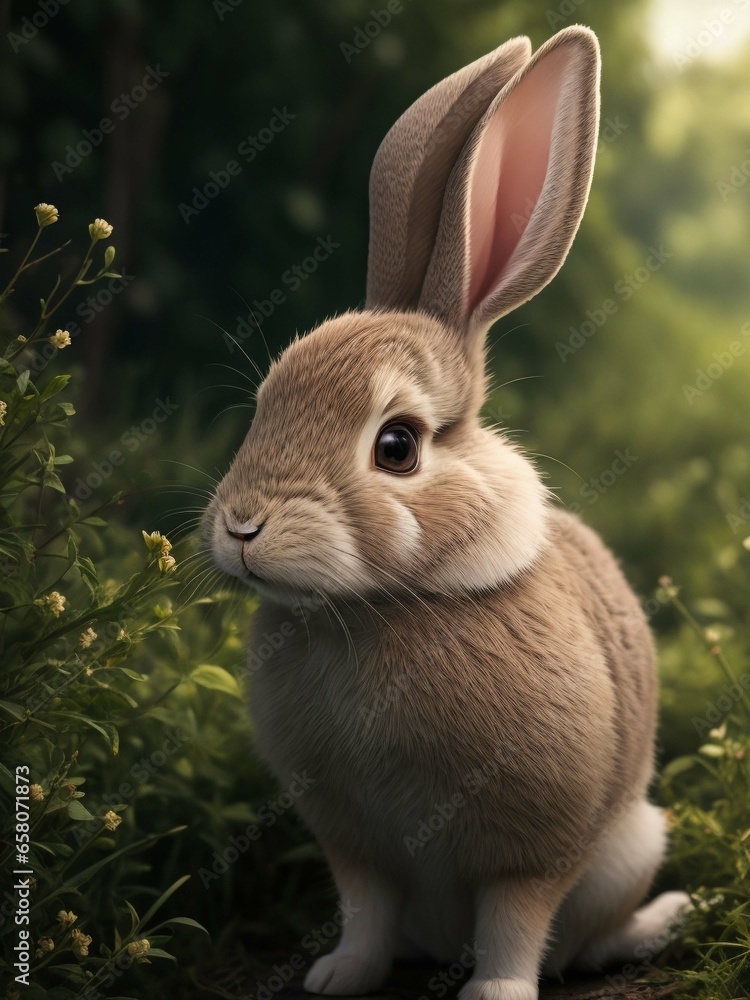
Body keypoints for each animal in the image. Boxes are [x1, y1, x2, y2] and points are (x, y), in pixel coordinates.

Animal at [202, 25, 690, 1000]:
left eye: (397, 446)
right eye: (266, 404)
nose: (241, 528)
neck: (376, 611)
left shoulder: (530, 853)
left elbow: (513, 927)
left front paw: (496, 994)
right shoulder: (354, 843)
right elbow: (366, 911)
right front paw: (338, 977)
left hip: (629, 846)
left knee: (588, 937)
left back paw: (664, 919)